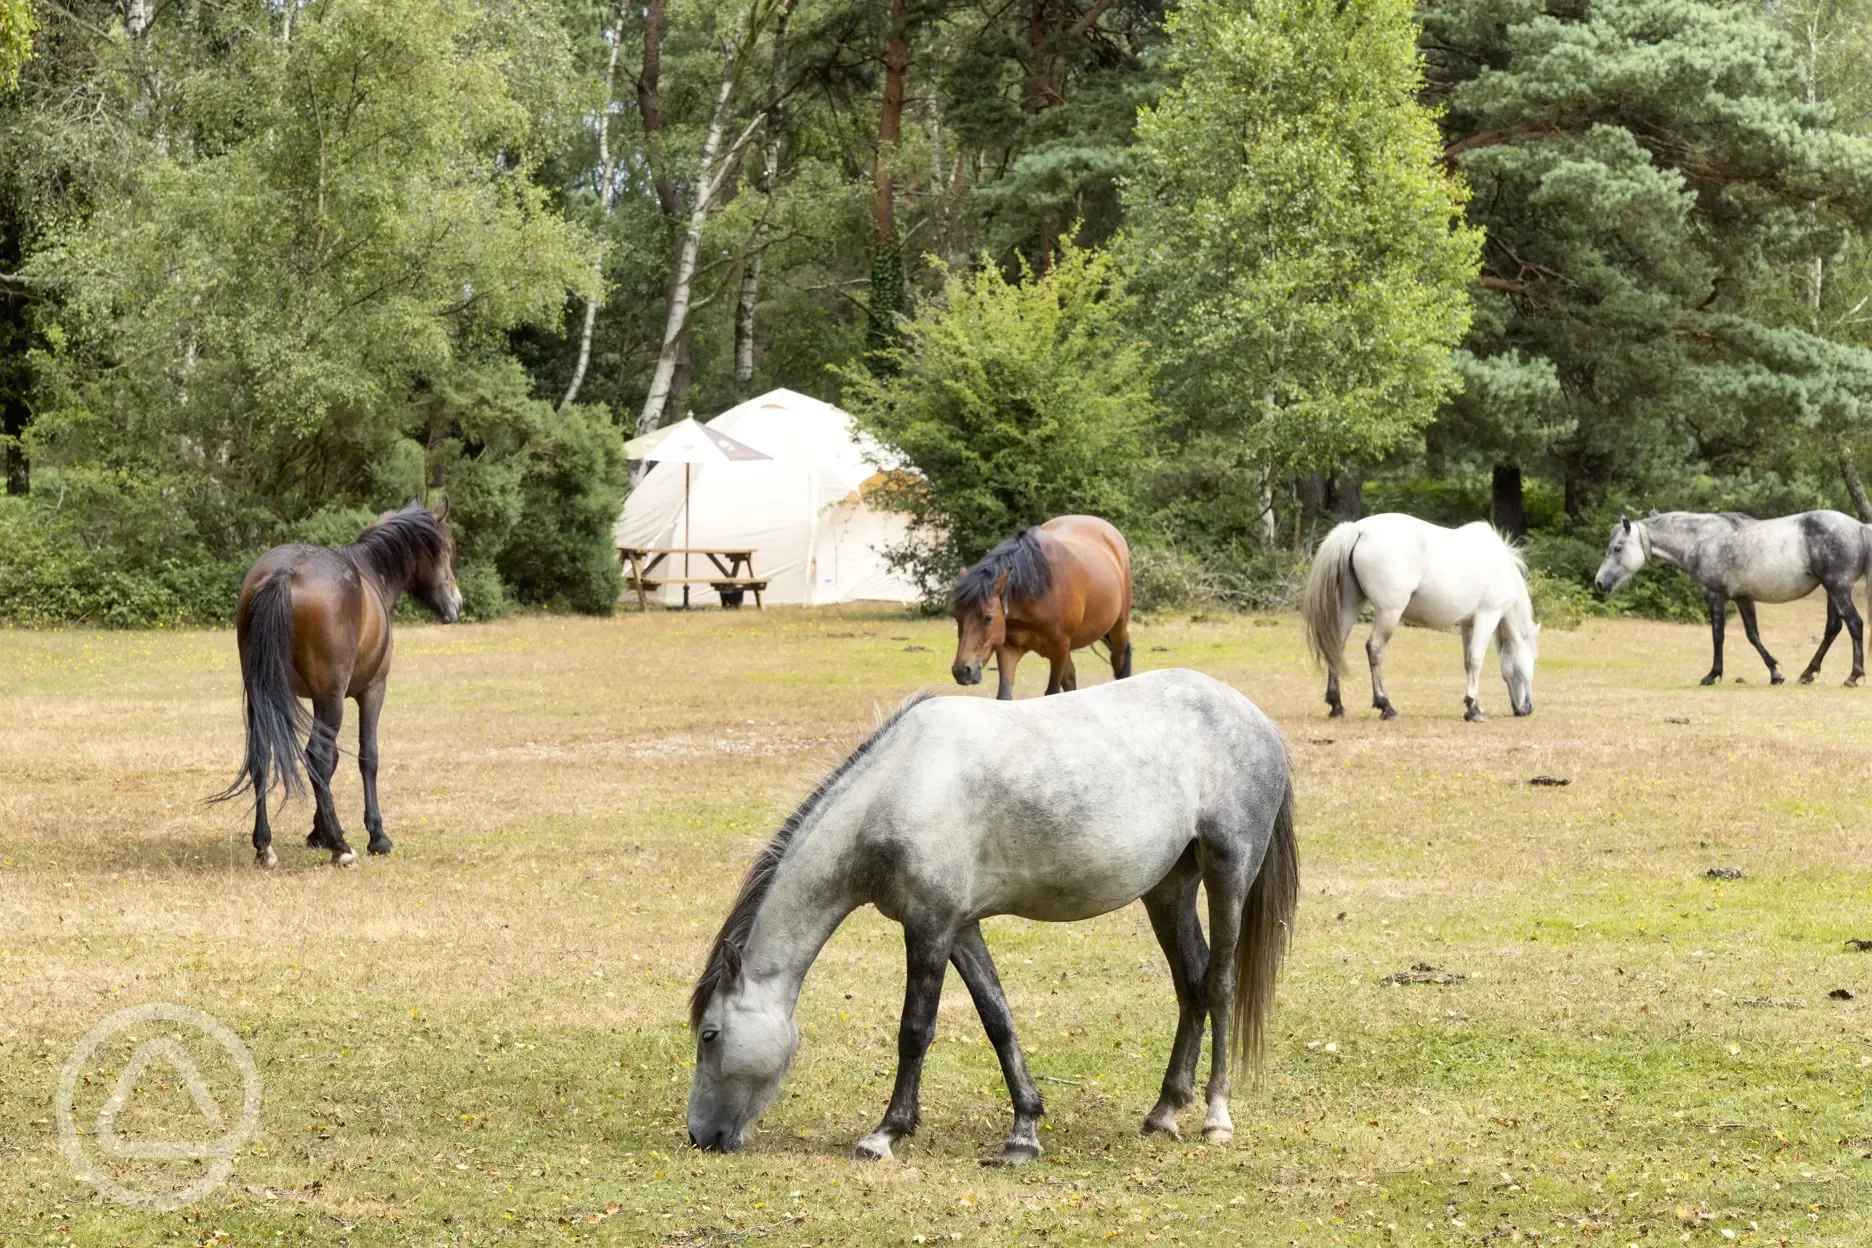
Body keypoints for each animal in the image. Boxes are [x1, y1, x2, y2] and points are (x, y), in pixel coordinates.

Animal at [211, 497, 456, 868]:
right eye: (448, 550)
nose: (457, 604)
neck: (370, 574)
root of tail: (284, 573)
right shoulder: (371, 692)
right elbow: (366, 757)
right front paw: (374, 836)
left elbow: (332, 764)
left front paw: (318, 832)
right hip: (332, 698)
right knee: (316, 755)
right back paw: (341, 847)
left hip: (262, 697)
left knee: (262, 756)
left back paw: (265, 846)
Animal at [688, 673, 1302, 1175]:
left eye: (709, 1034)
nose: (699, 1136)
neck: (899, 785)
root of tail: (1258, 721)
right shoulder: (960, 929)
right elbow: (998, 1020)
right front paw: (1023, 1134)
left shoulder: (929, 927)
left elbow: (915, 1030)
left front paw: (884, 1134)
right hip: (1169, 890)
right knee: (1191, 986)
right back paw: (1164, 1112)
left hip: (1228, 874)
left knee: (1219, 987)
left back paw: (1215, 1118)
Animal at [943, 512, 1130, 699]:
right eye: (957, 617)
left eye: (988, 618)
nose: (962, 671)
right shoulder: (1008, 649)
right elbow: (1004, 695)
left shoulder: (1060, 649)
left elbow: (1052, 691)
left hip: (1117, 628)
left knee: (1120, 662)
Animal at [1302, 512, 1535, 722]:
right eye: (1533, 661)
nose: (1527, 709)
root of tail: (1358, 530)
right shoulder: (1487, 616)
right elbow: (1476, 660)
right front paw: (1475, 709)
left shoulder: (1467, 624)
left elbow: (1468, 661)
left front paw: (1470, 706)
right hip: (1389, 612)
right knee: (1374, 648)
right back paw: (1385, 706)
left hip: (1352, 602)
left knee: (1336, 644)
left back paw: (1336, 705)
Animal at [1594, 508, 1872, 692]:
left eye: (1617, 548)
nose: (1599, 583)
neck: (1701, 540)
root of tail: (1859, 527)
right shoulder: (1743, 599)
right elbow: (1753, 635)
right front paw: (1775, 673)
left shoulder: (1715, 596)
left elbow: (1718, 635)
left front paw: (1712, 675)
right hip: (1831, 591)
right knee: (1833, 628)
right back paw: (1808, 673)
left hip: (1838, 589)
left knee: (1855, 624)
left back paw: (1853, 676)